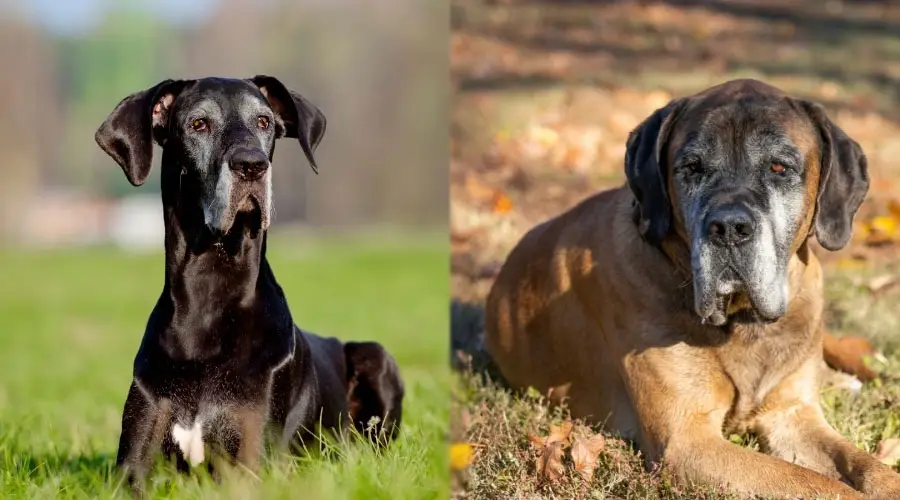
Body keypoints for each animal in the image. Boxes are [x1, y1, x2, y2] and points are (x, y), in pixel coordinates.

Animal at [96, 76, 404, 494]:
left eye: (263, 121)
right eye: (198, 124)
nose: (252, 165)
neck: (209, 294)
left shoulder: (251, 458)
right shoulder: (133, 462)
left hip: (375, 355)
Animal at [486, 80, 900, 498]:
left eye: (779, 167)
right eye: (691, 168)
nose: (729, 227)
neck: (742, 323)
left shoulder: (793, 416)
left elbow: (869, 467)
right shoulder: (688, 442)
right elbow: (817, 485)